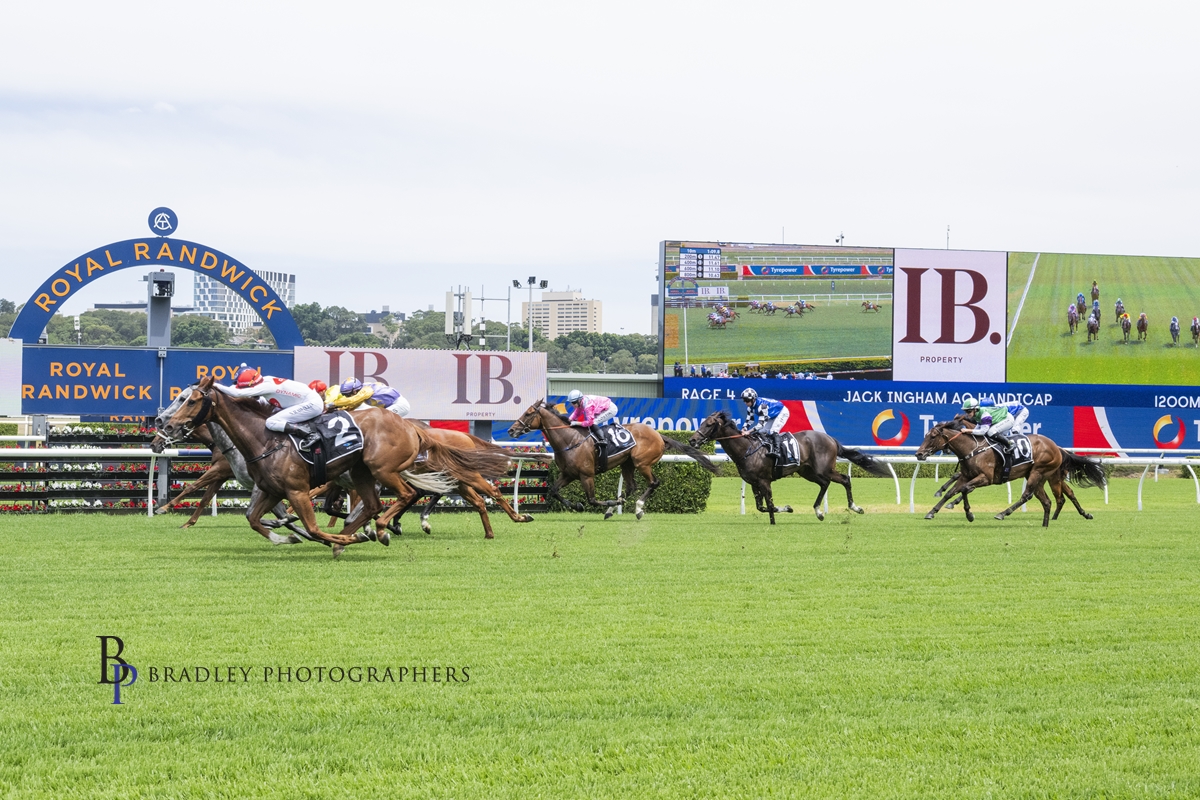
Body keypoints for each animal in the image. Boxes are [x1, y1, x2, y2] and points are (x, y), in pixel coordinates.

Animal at [160, 375, 512, 556]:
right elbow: (254, 520)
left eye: (190, 400)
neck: (265, 439)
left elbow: (313, 527)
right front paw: (289, 537)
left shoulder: (298, 490)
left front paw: (332, 537)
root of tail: (412, 427)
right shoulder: (271, 490)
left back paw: (380, 530)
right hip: (364, 473)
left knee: (407, 496)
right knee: (379, 504)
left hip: (384, 469)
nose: (165, 424)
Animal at [508, 400, 719, 519]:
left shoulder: (586, 475)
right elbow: (553, 491)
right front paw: (577, 505)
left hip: (642, 463)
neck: (570, 440)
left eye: (528, 413)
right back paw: (616, 507)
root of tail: (659, 435)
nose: (511, 430)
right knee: (631, 487)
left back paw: (637, 508)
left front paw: (602, 503)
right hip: (627, 463)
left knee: (654, 483)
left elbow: (592, 500)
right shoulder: (568, 474)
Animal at [689, 411, 890, 524]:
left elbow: (770, 505)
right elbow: (761, 507)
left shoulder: (765, 481)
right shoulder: (754, 483)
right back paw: (823, 511)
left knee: (842, 480)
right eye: (702, 422)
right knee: (827, 483)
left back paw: (849, 508)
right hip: (807, 471)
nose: (692, 440)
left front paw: (778, 518)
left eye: (709, 424)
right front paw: (786, 509)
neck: (747, 449)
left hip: (822, 469)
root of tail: (831, 439)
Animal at [914, 418, 1105, 528]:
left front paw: (969, 514)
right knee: (1047, 500)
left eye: (932, 436)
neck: (972, 449)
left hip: (1039, 472)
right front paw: (932, 511)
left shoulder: (986, 478)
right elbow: (952, 491)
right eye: (926, 435)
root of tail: (1056, 447)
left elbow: (964, 489)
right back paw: (1045, 524)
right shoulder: (966, 476)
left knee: (1029, 495)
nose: (919, 454)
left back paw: (1002, 513)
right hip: (1038, 476)